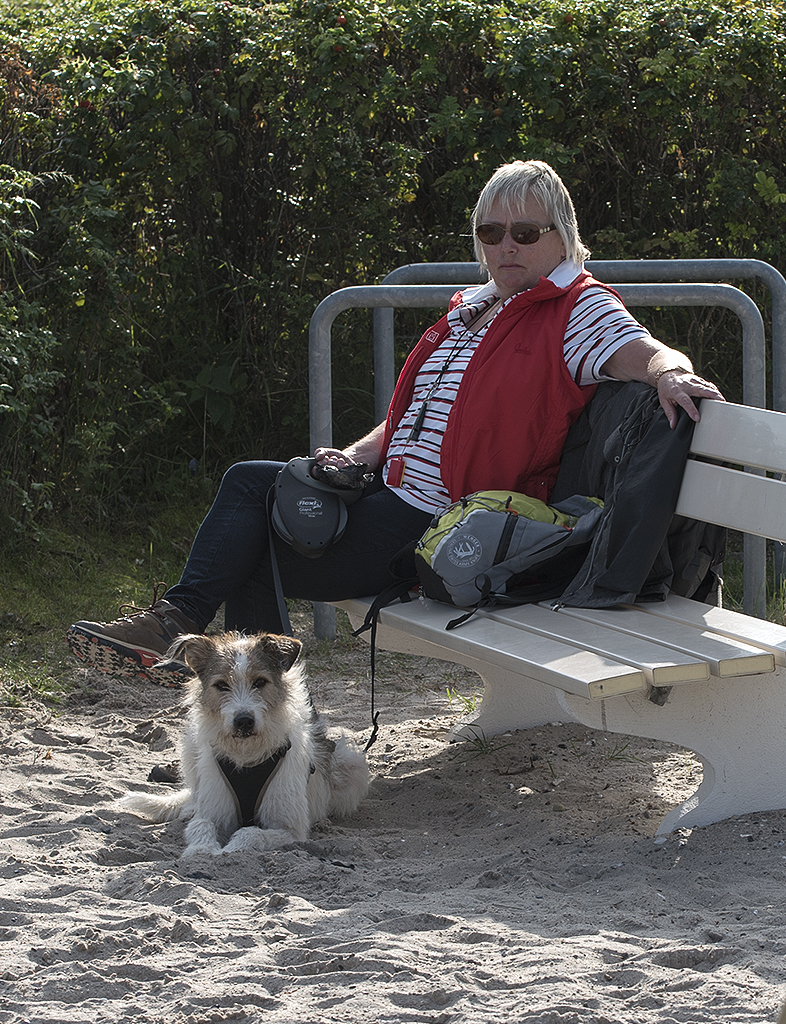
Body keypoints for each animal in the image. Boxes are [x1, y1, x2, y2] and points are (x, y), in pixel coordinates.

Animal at [120, 630, 372, 856]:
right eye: (221, 685)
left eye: (260, 682)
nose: (243, 721)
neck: (247, 755)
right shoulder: (214, 812)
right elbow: (201, 825)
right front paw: (202, 850)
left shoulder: (289, 829)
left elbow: (249, 833)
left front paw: (230, 849)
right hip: (191, 747)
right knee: (194, 796)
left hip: (351, 763)